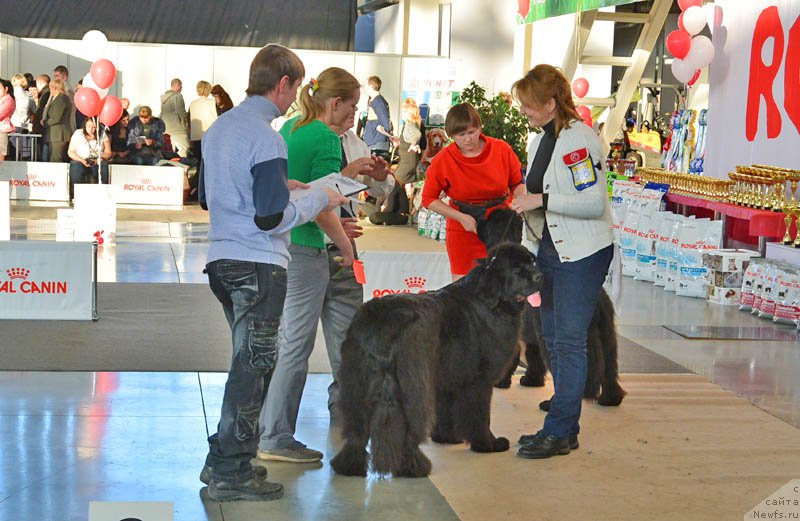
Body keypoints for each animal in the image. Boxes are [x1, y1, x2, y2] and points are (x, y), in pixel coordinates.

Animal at [332, 244, 544, 476]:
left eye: (532, 261)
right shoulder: (479, 381)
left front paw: (447, 438)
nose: (540, 276)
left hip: (356, 384)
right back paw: (413, 467)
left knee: (356, 431)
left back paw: (349, 465)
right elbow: (480, 415)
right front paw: (488, 444)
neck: (491, 300)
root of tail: (384, 324)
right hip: (413, 384)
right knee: (410, 430)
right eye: (516, 269)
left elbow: (446, 411)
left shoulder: (447, 377)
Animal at [476, 205, 624, 408]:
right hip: (607, 337)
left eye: (490, 220)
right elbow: (533, 358)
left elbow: (514, 358)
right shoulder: (531, 335)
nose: (478, 221)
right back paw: (610, 399)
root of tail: (598, 302)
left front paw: (502, 382)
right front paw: (532, 380)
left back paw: (555, 402)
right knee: (609, 368)